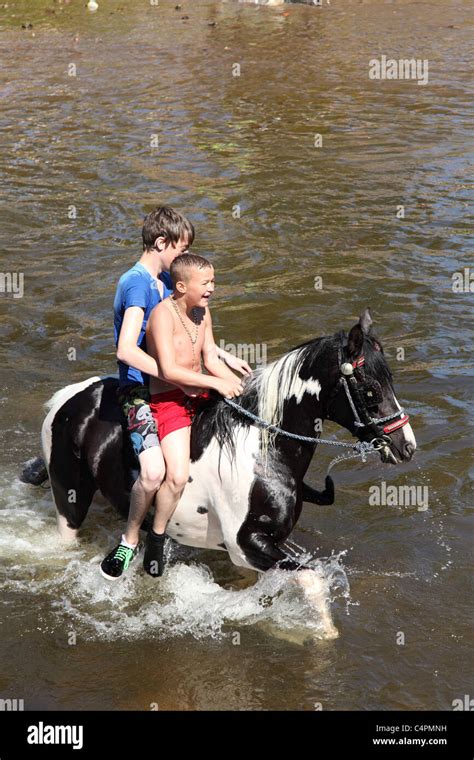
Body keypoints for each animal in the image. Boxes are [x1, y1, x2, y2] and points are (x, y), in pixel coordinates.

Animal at [22, 308, 414, 636]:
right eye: (370, 390)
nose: (406, 446)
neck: (262, 450)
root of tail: (70, 398)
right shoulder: (247, 544)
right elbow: (311, 580)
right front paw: (323, 634)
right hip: (70, 502)